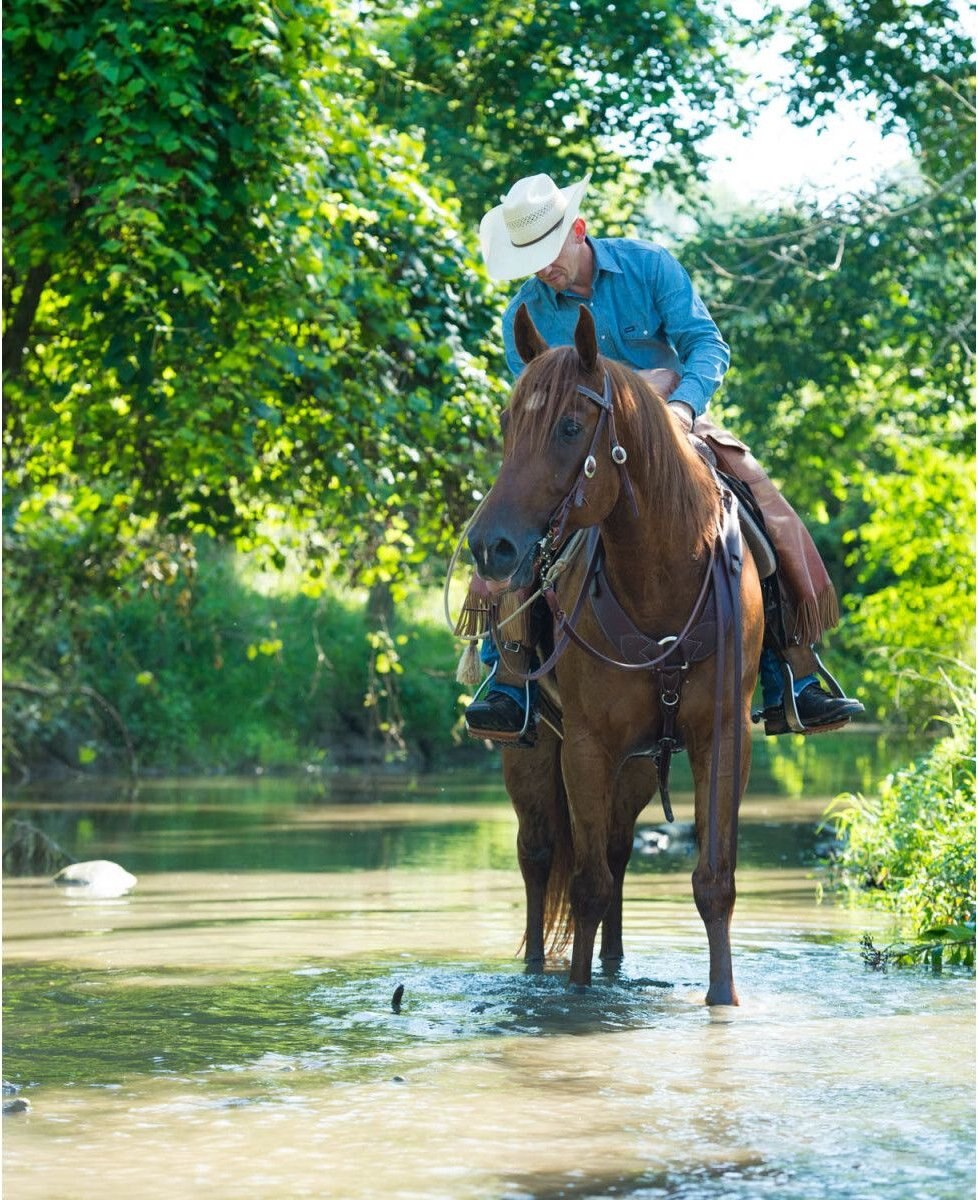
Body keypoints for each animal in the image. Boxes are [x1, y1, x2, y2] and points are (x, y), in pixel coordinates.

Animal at [470, 304, 768, 1008]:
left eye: (570, 426)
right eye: (508, 423)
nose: (489, 545)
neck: (661, 582)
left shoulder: (724, 737)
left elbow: (713, 880)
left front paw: (723, 999)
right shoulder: (585, 747)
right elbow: (584, 886)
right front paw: (578, 1005)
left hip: (635, 769)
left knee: (616, 851)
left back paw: (615, 965)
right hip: (532, 757)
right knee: (540, 856)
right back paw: (540, 973)